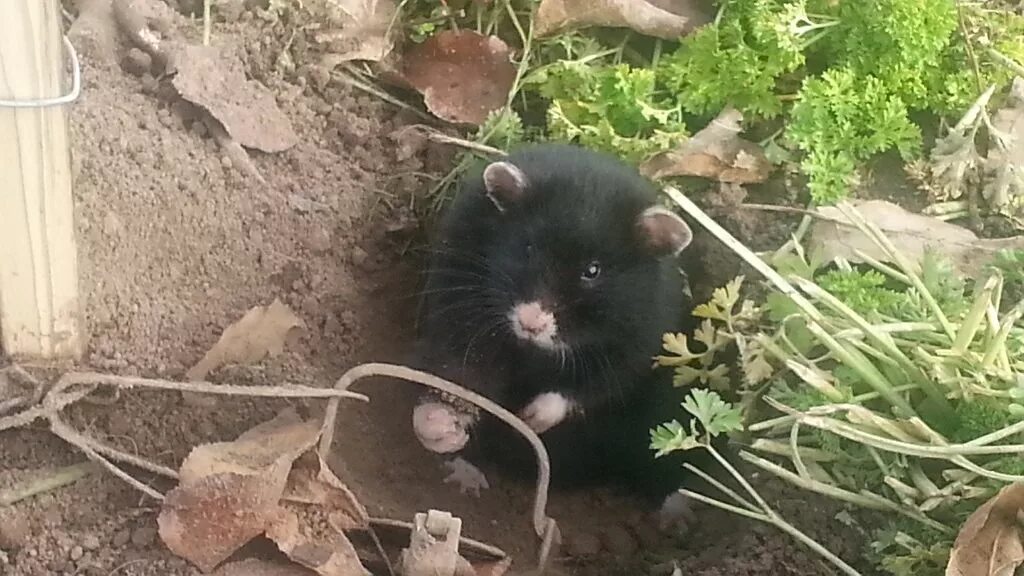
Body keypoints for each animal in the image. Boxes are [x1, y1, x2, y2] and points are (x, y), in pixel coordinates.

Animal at [407, 144, 704, 524]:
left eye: (592, 270)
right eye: (528, 249)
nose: (531, 323)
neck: (533, 350)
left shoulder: (638, 344)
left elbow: (587, 389)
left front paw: (530, 420)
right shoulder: (459, 305)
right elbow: (459, 372)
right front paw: (439, 429)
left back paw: (679, 517)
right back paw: (466, 477)